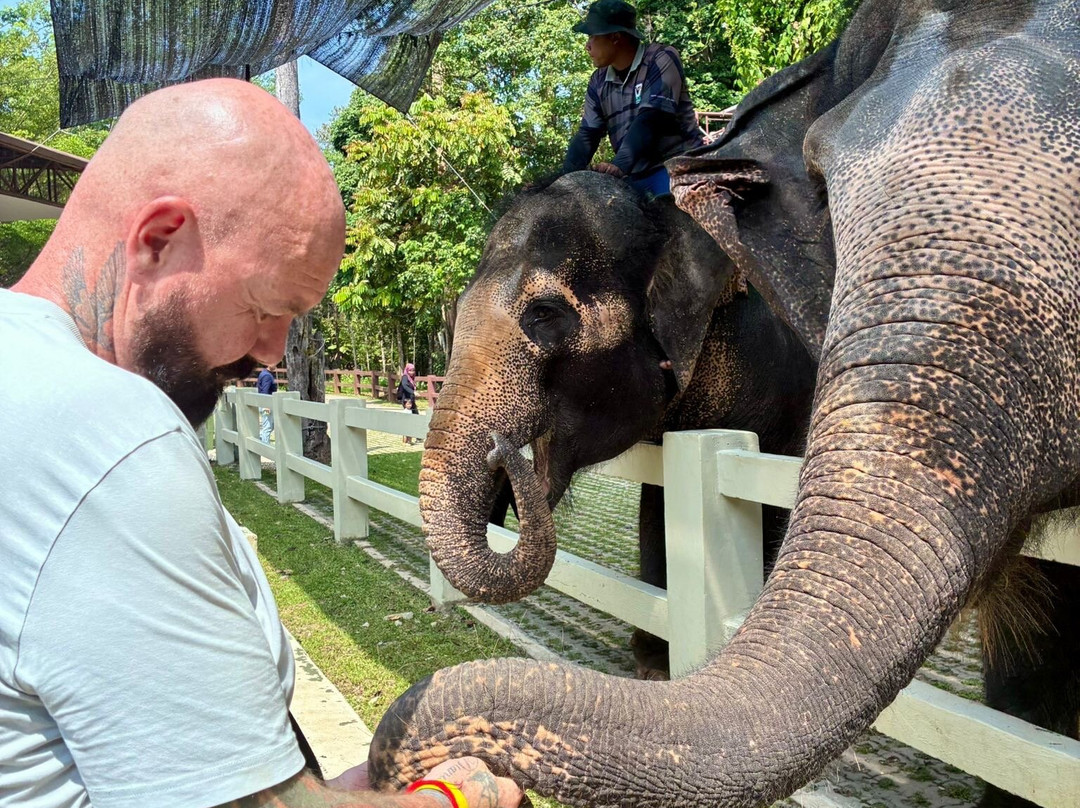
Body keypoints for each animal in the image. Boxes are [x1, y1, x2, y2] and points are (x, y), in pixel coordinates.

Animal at [369, 1, 1080, 807]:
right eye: (454, 313)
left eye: (545, 316)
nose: (504, 462)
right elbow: (659, 508)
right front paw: (652, 663)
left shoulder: (784, 383)